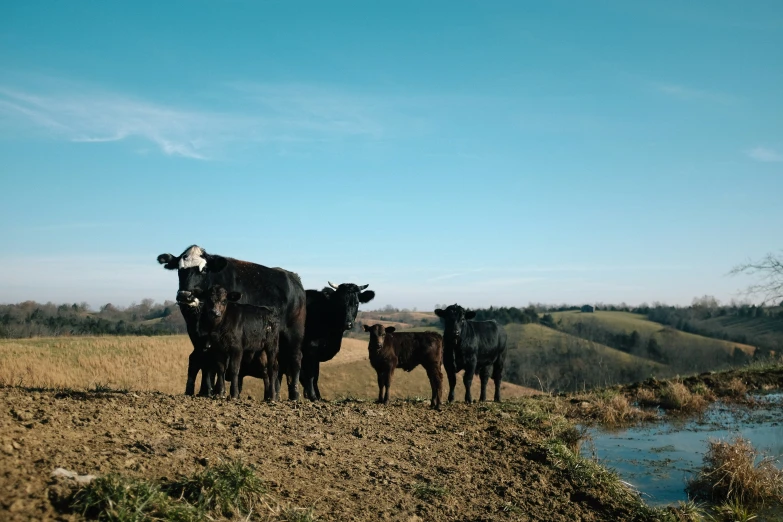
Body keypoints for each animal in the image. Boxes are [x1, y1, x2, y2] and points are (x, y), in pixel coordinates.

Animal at [157, 244, 306, 398]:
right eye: (180, 270)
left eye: (203, 270)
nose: (185, 295)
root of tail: (293, 277)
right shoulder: (197, 336)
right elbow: (203, 361)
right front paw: (205, 391)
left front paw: (215, 391)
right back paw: (273, 394)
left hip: (294, 333)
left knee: (295, 359)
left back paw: (294, 394)